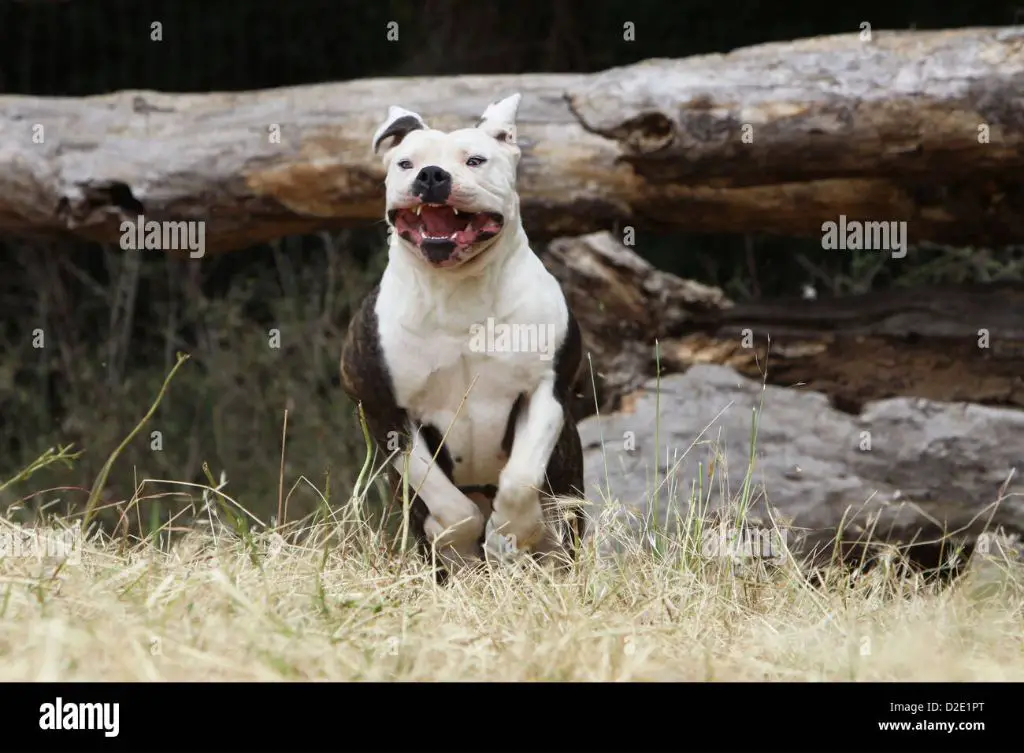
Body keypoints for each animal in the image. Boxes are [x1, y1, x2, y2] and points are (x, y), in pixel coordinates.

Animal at [342, 91, 589, 581]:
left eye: (476, 160)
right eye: (406, 163)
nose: (432, 175)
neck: (458, 289)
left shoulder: (544, 390)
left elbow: (520, 480)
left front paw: (509, 533)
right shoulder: (384, 409)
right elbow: (447, 504)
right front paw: (463, 546)